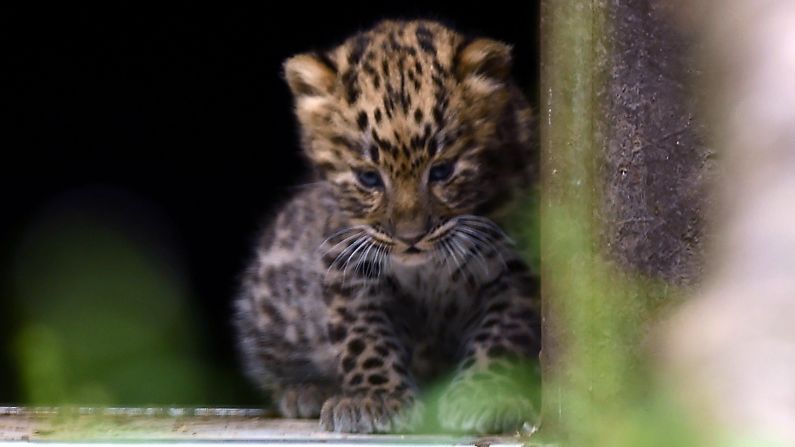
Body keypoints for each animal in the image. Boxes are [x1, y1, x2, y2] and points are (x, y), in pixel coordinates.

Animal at [234, 19, 540, 434]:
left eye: (443, 171)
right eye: (368, 178)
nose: (411, 238)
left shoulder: (515, 262)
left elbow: (503, 334)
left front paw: (483, 395)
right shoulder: (347, 260)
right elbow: (363, 336)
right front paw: (375, 398)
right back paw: (306, 390)